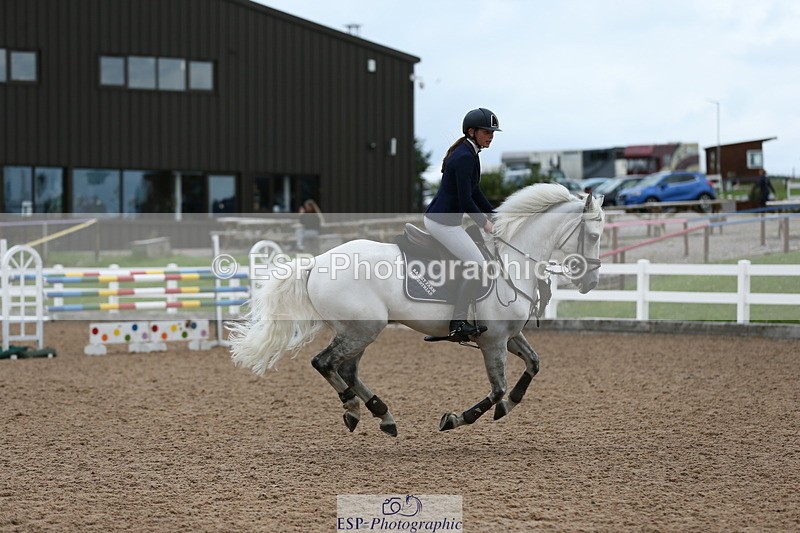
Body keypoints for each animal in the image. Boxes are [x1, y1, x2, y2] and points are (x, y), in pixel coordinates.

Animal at [228, 183, 605, 436]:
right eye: (594, 235)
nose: (590, 282)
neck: (514, 260)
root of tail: (317, 262)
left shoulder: (510, 336)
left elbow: (534, 365)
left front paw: (508, 405)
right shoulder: (494, 340)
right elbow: (496, 387)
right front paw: (457, 419)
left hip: (359, 330)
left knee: (346, 369)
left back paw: (381, 414)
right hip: (364, 328)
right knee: (325, 363)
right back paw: (354, 409)